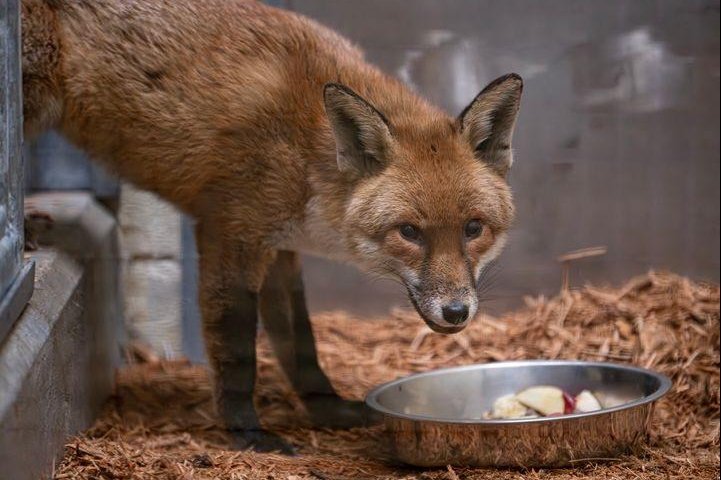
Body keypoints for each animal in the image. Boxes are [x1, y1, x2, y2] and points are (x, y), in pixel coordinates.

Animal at [21, 0, 522, 452]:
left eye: (473, 228)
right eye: (410, 232)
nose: (456, 312)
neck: (306, 150)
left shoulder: (281, 247)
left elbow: (301, 345)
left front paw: (329, 410)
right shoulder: (230, 232)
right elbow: (237, 349)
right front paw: (247, 432)